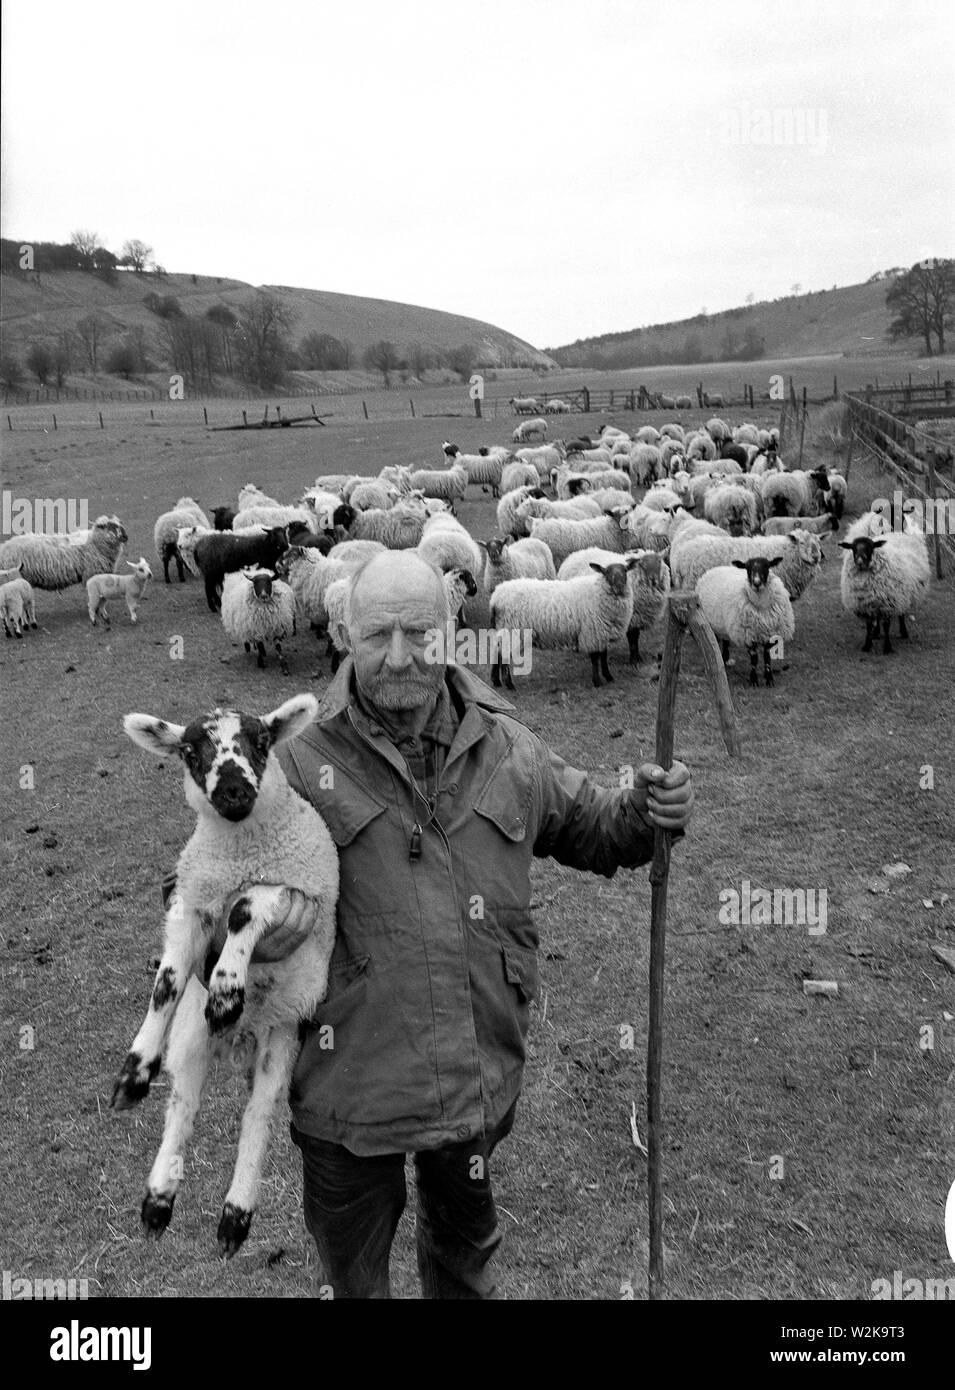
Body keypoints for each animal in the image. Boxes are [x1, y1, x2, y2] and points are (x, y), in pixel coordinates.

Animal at [0, 517, 128, 592]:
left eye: (119, 525)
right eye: (112, 527)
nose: (126, 537)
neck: (94, 543)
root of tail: (4, 549)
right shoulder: (91, 574)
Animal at [113, 695, 340, 1262]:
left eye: (261, 742)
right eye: (190, 751)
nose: (233, 790)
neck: (240, 852)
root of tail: (244, 1037)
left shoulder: (292, 889)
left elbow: (242, 908)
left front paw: (226, 990)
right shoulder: (190, 905)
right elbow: (168, 982)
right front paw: (133, 1070)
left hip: (284, 1034)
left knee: (257, 1118)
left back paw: (235, 1216)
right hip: (192, 1039)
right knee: (183, 1104)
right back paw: (159, 1200)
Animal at [697, 553, 795, 683]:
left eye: (767, 566)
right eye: (747, 568)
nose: (756, 583)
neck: (761, 606)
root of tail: (715, 568)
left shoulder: (771, 633)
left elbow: (767, 657)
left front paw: (769, 678)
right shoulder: (748, 634)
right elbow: (754, 658)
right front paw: (753, 679)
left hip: (725, 623)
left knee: (725, 640)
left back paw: (726, 659)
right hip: (711, 622)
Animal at [839, 519, 928, 653]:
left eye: (870, 548)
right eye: (853, 548)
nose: (859, 562)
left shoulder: (888, 602)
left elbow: (886, 626)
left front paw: (887, 647)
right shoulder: (866, 604)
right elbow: (869, 625)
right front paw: (867, 645)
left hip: (902, 595)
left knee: (901, 613)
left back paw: (903, 632)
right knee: (878, 619)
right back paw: (876, 633)